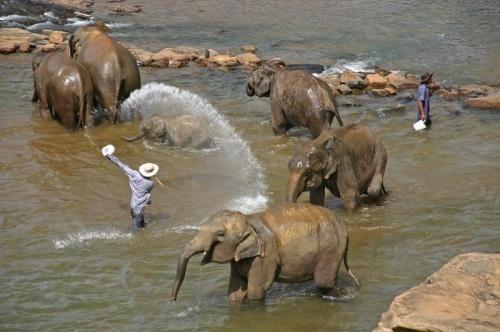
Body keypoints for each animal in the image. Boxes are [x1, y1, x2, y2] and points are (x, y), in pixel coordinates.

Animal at [172, 204, 360, 302]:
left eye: (220, 234)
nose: (173, 300)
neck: (249, 220)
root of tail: (345, 228)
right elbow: (235, 291)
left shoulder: (265, 255)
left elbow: (257, 290)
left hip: (332, 247)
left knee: (323, 281)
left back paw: (343, 294)